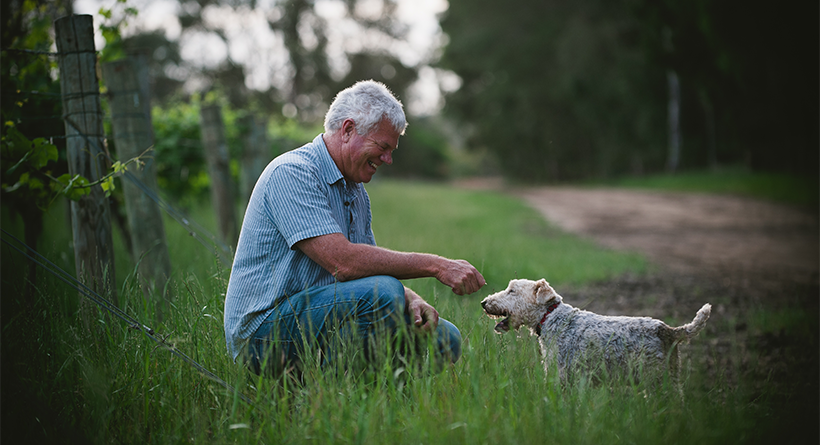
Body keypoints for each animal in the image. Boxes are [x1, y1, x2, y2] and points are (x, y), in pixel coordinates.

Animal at [484, 276, 708, 384]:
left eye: (512, 290)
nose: (483, 302)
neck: (550, 317)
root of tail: (668, 330)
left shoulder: (562, 375)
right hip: (671, 377)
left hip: (655, 378)